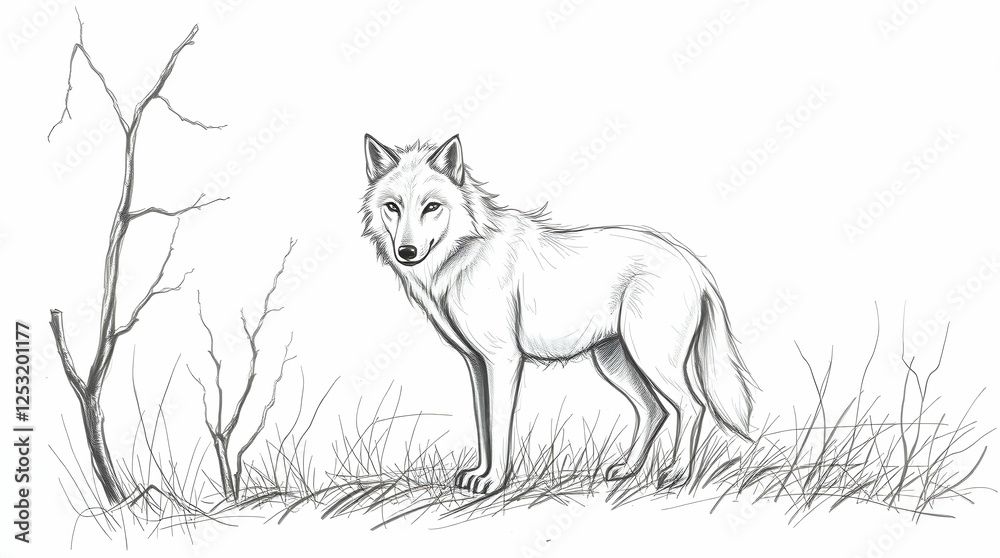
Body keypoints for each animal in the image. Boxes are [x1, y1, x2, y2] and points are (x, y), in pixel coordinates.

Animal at [361, 134, 756, 494]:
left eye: (431, 207)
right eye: (393, 206)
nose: (406, 252)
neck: (464, 254)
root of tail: (692, 262)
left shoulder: (503, 360)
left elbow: (498, 426)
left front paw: (493, 483)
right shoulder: (476, 363)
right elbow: (483, 425)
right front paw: (479, 475)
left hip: (652, 359)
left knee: (692, 406)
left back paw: (677, 475)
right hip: (614, 362)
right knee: (652, 410)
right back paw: (627, 469)